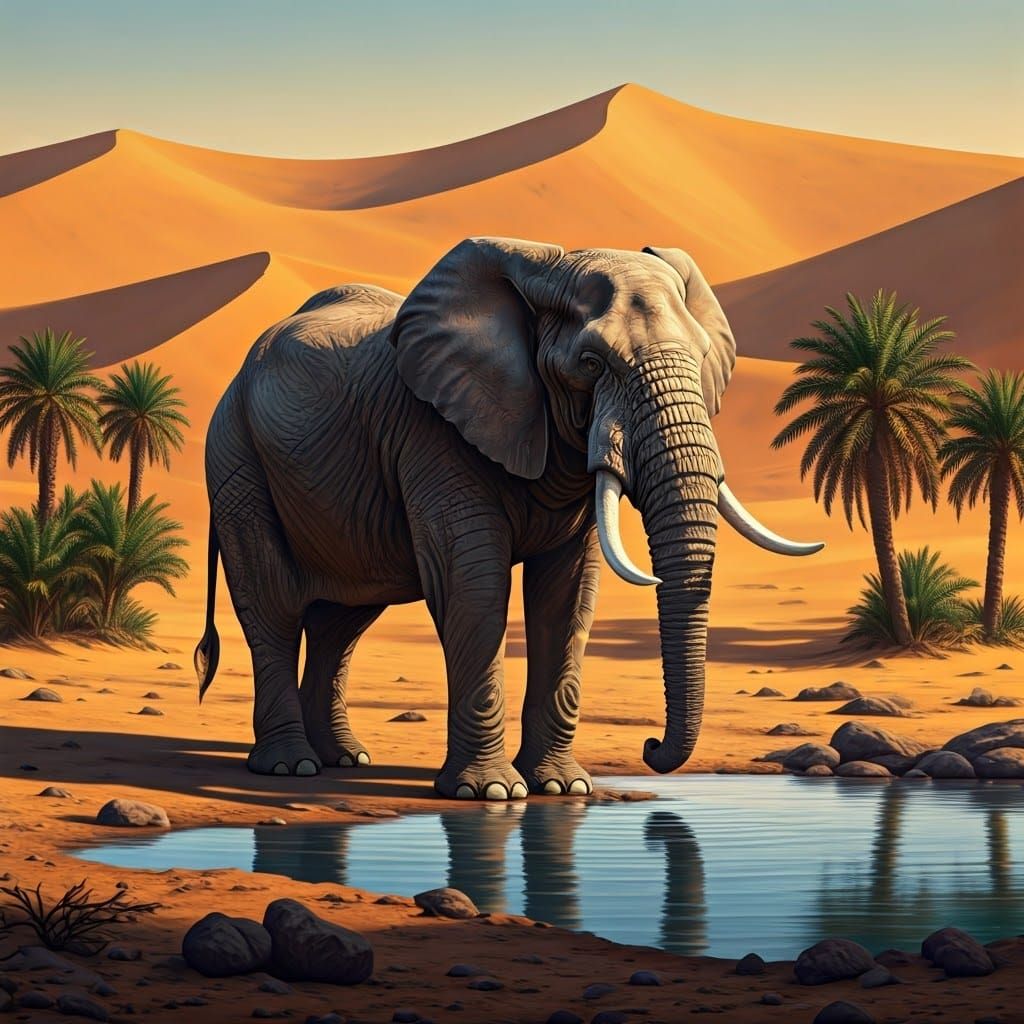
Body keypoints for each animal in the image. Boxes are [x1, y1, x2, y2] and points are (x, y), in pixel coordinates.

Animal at [194, 236, 823, 799]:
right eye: (591, 363)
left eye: (702, 359)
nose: (648, 748)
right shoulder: (434, 429)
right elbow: (472, 581)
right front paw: (492, 793)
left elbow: (567, 596)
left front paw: (563, 787)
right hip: (236, 458)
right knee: (273, 604)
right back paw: (290, 768)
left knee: (341, 621)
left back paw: (345, 760)